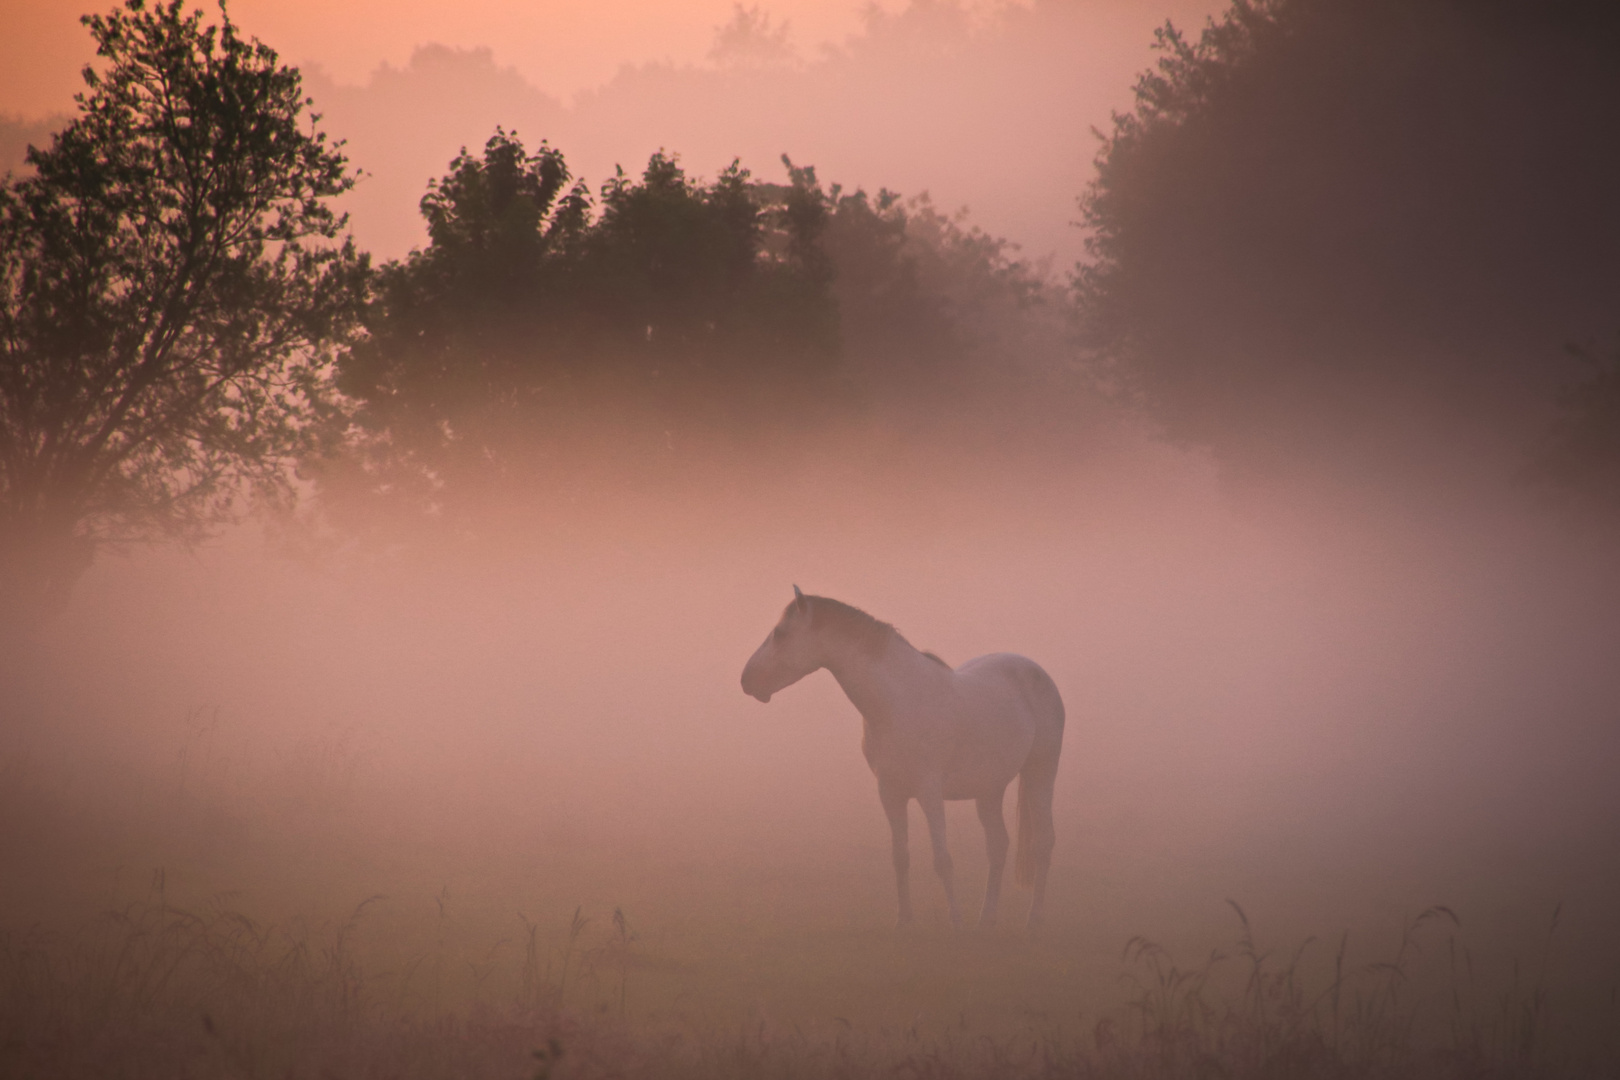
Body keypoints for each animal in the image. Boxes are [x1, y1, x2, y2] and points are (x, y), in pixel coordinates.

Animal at [741, 586, 1069, 932]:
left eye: (780, 633)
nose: (747, 680)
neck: (897, 701)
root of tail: (1035, 671)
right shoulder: (890, 792)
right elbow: (900, 857)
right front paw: (904, 921)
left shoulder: (929, 791)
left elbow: (942, 859)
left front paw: (955, 922)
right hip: (989, 789)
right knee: (998, 846)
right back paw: (986, 918)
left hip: (1041, 773)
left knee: (1043, 843)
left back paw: (1034, 919)